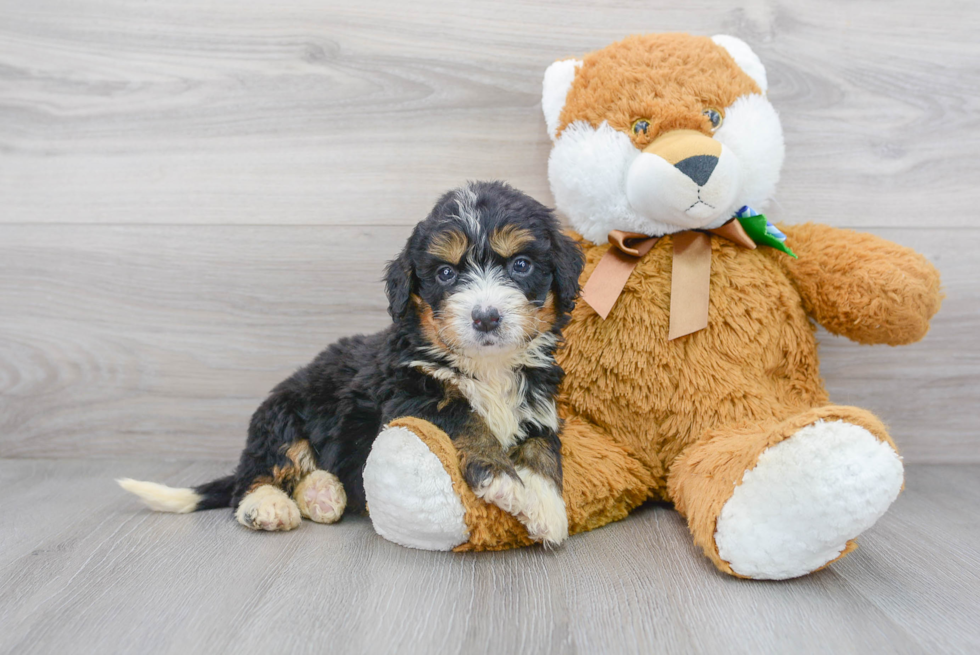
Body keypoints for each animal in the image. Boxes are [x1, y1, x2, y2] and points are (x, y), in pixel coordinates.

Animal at [119, 181, 584, 548]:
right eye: (447, 274)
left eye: (521, 265)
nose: (486, 317)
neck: (488, 366)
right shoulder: (412, 395)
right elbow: (467, 420)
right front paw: (504, 480)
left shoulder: (538, 405)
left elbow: (544, 451)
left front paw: (547, 507)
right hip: (281, 415)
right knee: (258, 474)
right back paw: (269, 506)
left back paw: (323, 493)